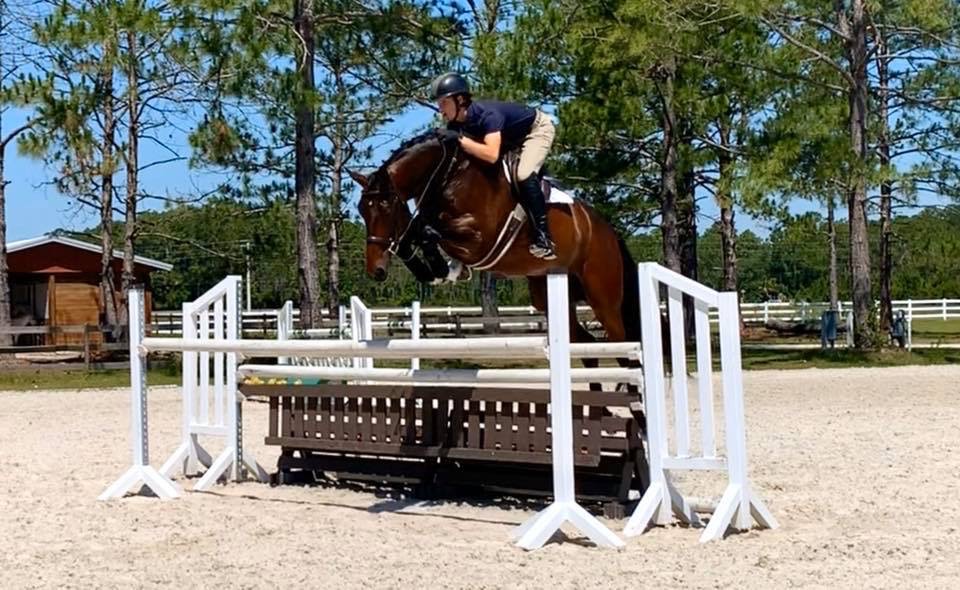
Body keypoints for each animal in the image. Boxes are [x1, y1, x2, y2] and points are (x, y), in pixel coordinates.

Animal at [348, 130, 643, 390]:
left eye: (386, 207)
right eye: (362, 210)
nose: (375, 270)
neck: (447, 174)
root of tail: (607, 230)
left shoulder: (480, 239)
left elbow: (424, 231)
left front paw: (442, 268)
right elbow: (415, 231)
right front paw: (434, 270)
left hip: (602, 297)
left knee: (622, 347)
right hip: (550, 294)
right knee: (588, 347)